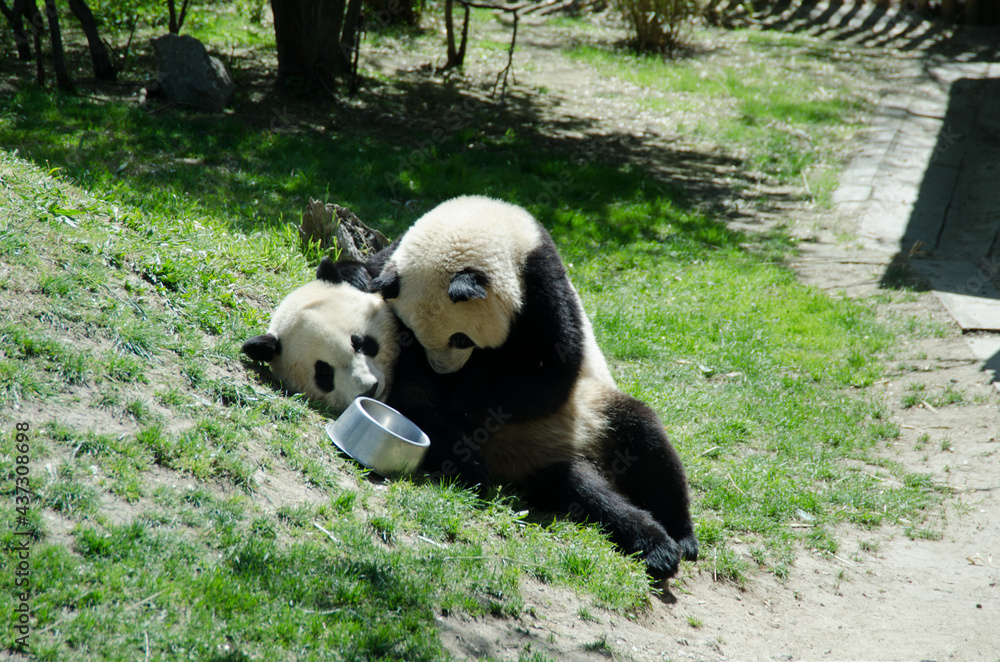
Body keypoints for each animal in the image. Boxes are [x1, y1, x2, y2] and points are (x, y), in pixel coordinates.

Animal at [370, 195, 699, 579]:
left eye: (460, 338)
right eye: (413, 334)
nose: (443, 370)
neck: (482, 219)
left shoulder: (540, 282)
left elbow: (551, 369)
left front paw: (464, 400)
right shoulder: (392, 260)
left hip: (591, 410)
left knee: (647, 445)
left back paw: (676, 540)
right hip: (550, 463)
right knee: (584, 492)